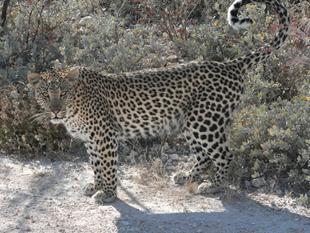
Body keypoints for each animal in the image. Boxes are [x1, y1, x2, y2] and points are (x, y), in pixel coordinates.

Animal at [27, 0, 290, 203]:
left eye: (62, 94)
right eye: (45, 95)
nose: (56, 112)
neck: (75, 107)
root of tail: (228, 65)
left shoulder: (105, 136)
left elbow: (108, 166)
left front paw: (108, 193)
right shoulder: (92, 140)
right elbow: (96, 165)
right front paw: (96, 185)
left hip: (205, 123)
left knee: (225, 154)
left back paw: (212, 185)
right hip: (191, 123)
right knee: (204, 155)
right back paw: (188, 176)